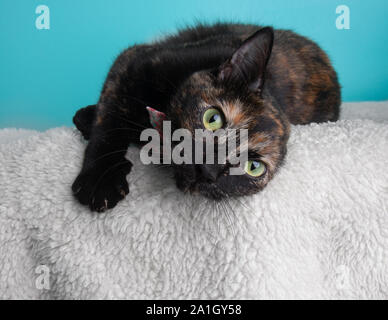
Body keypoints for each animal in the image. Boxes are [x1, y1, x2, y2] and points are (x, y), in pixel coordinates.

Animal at [72, 22, 340, 212]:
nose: (207, 169)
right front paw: (99, 180)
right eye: (213, 119)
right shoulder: (134, 61)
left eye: (253, 167)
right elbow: (108, 123)